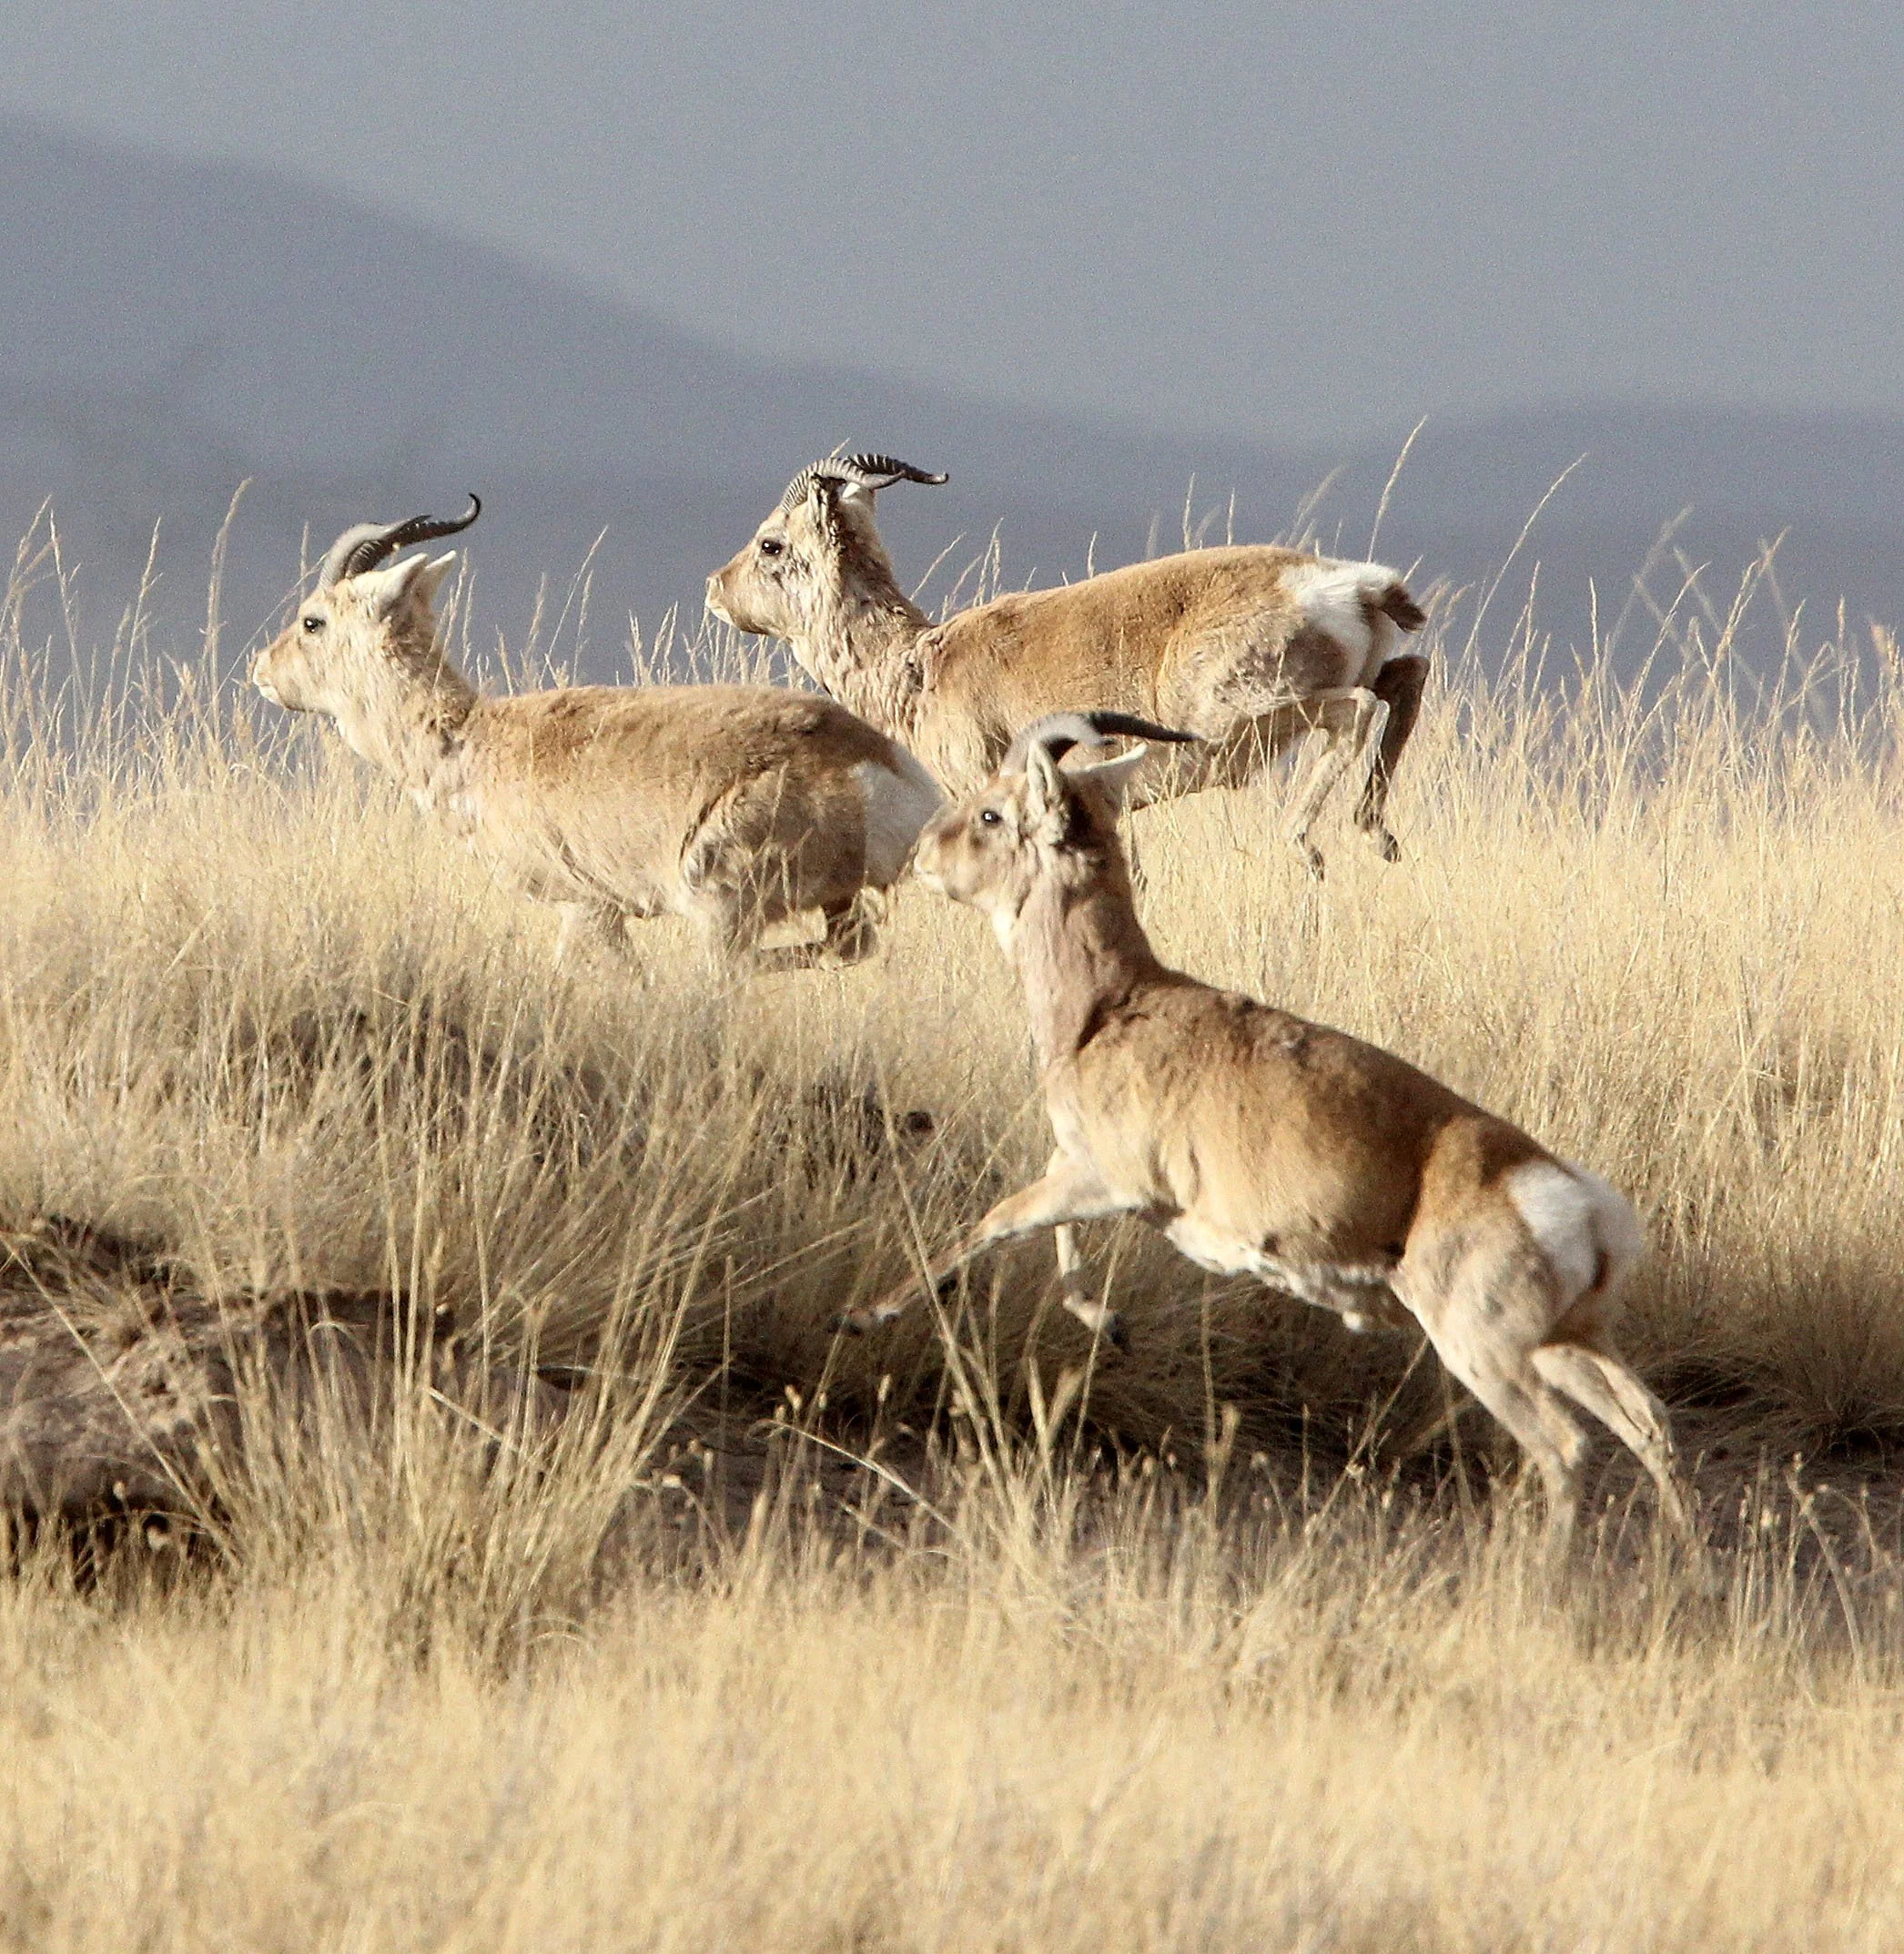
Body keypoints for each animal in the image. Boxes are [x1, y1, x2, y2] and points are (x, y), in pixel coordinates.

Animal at [251, 499, 942, 968]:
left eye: (312, 620)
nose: (260, 670)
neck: (477, 738)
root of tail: (871, 762)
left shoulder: (585, 909)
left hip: (723, 912)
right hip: (837, 904)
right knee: (850, 947)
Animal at [706, 453, 1431, 878]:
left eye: (771, 543)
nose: (715, 587)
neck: (920, 663)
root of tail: (1354, 585)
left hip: (1240, 724)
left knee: (1357, 710)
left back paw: (1308, 844)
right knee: (1405, 679)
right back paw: (1379, 836)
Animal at [846, 712, 1688, 1546]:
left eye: (993, 811)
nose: (921, 849)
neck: (1114, 1006)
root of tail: (1581, 1207)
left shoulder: (1100, 1179)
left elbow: (993, 1223)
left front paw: (864, 1314)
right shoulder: (1079, 1172)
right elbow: (1059, 1252)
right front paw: (1108, 1323)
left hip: (1489, 1352)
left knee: (1566, 1445)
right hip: (1566, 1343)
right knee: (1649, 1421)